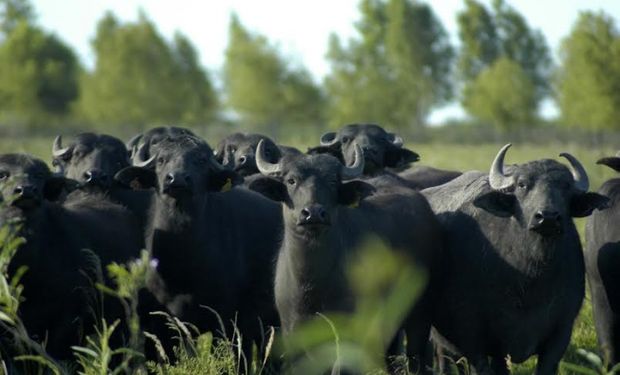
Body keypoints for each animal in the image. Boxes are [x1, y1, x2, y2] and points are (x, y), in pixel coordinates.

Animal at [249, 140, 444, 374]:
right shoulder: (293, 333)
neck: (311, 281)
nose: (313, 213)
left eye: (333, 181)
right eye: (291, 180)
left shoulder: (348, 332)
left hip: (420, 313)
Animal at [418, 145, 608, 374]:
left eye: (565, 186)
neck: (529, 278)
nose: (547, 217)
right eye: (522, 185)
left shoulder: (561, 331)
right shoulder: (474, 335)